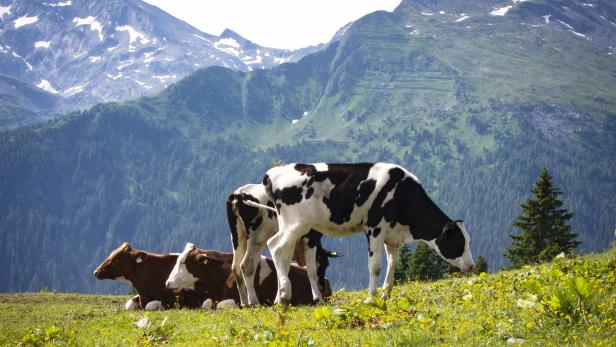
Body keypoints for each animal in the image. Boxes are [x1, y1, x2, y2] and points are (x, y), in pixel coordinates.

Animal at [260, 163, 476, 304]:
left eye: (468, 241)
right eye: (458, 242)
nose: (472, 266)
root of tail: (274, 172)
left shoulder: (393, 236)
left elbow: (393, 263)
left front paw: (386, 294)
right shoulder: (374, 226)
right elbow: (375, 266)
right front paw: (371, 297)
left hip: (295, 228)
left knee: (288, 257)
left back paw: (284, 298)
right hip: (295, 224)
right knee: (275, 246)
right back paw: (285, 296)